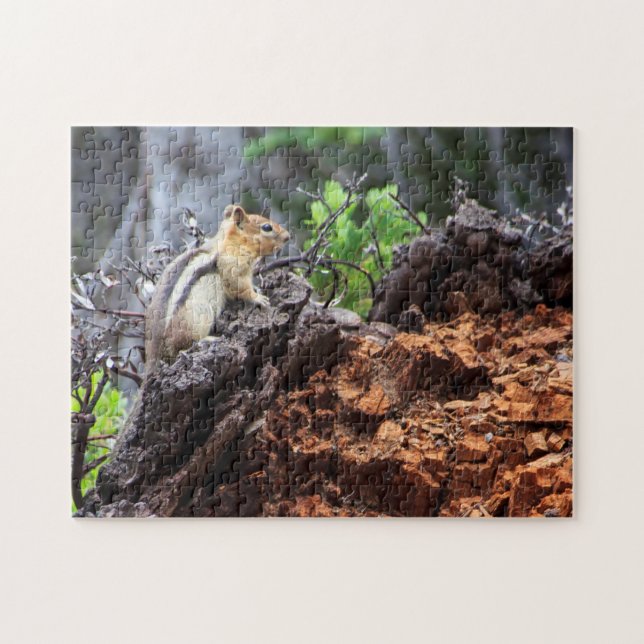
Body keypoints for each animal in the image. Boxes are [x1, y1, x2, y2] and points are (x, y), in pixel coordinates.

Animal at [144, 204, 290, 369]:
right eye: (267, 227)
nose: (288, 236)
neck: (230, 241)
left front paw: (257, 289)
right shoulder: (232, 265)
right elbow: (239, 286)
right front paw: (257, 297)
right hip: (197, 316)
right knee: (182, 347)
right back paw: (207, 340)